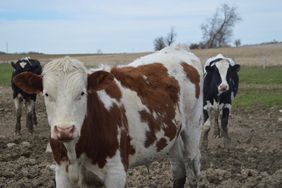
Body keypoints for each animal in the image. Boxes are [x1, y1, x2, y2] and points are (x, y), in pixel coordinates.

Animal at [13, 46, 203, 188]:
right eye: (46, 94)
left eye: (82, 93)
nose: (64, 130)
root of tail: (177, 48)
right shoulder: (62, 174)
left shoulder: (116, 173)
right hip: (172, 136)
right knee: (179, 170)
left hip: (193, 128)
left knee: (192, 165)